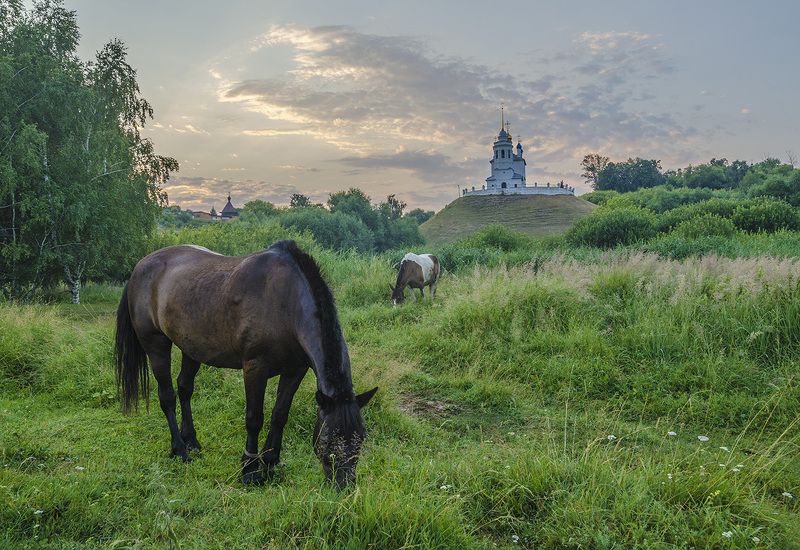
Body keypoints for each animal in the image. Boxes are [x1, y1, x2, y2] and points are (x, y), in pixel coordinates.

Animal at [115, 239, 378, 490]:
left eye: (361, 438)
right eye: (328, 440)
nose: (344, 486)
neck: (286, 303)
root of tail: (140, 267)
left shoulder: (295, 370)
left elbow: (280, 415)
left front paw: (271, 463)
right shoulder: (255, 368)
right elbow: (254, 418)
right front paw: (250, 470)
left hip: (192, 347)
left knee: (184, 388)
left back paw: (191, 441)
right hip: (155, 344)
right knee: (167, 396)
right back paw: (179, 449)